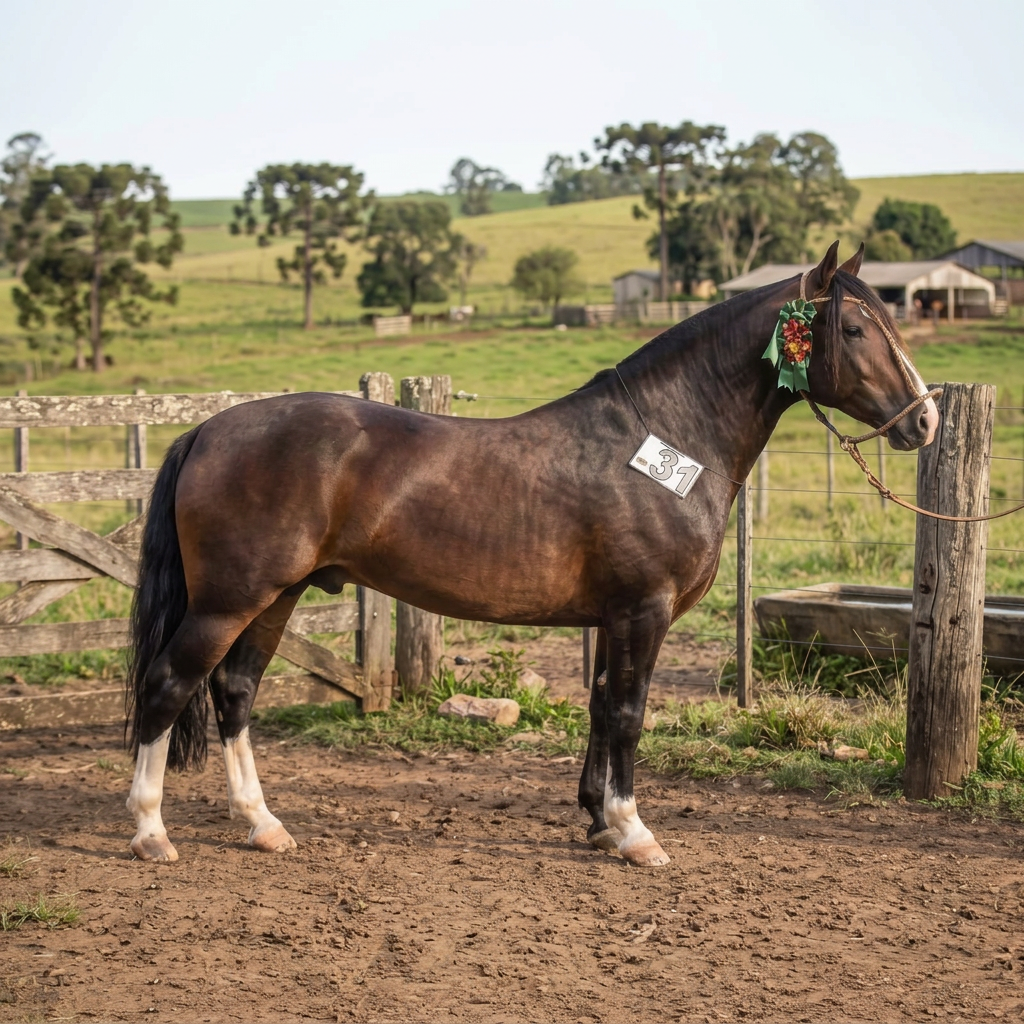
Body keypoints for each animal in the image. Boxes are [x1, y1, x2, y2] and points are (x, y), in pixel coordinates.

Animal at [124, 241, 938, 868]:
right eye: (856, 328)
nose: (925, 422)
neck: (667, 436)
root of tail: (207, 430)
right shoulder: (643, 611)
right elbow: (630, 713)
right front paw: (635, 833)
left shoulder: (614, 617)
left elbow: (602, 707)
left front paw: (599, 820)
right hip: (230, 599)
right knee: (167, 686)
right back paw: (151, 831)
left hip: (276, 597)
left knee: (234, 692)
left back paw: (263, 825)